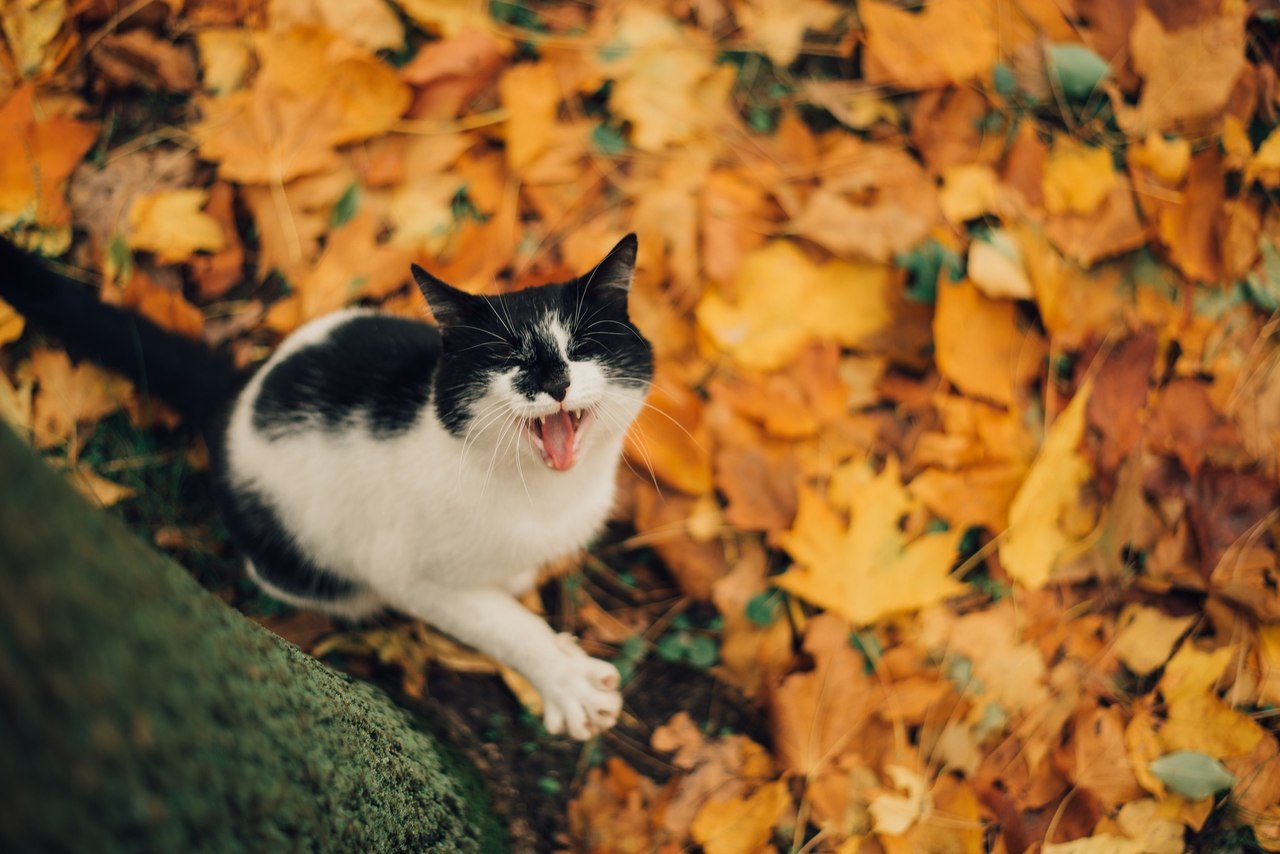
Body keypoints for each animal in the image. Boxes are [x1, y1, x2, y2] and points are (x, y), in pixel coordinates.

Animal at [0, 234, 655, 742]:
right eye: (510, 359)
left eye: (583, 348)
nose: (555, 382)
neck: (542, 493)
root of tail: (236, 394)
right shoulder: (407, 574)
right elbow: (504, 627)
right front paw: (564, 680)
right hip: (307, 566)